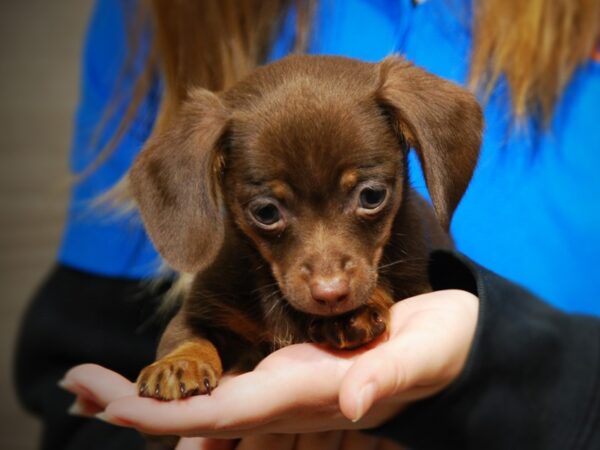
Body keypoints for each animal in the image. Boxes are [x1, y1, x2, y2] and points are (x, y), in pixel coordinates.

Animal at [129, 54, 480, 400]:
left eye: (372, 196)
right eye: (266, 212)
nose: (331, 294)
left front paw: (356, 311)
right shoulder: (198, 314)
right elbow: (189, 337)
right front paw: (180, 363)